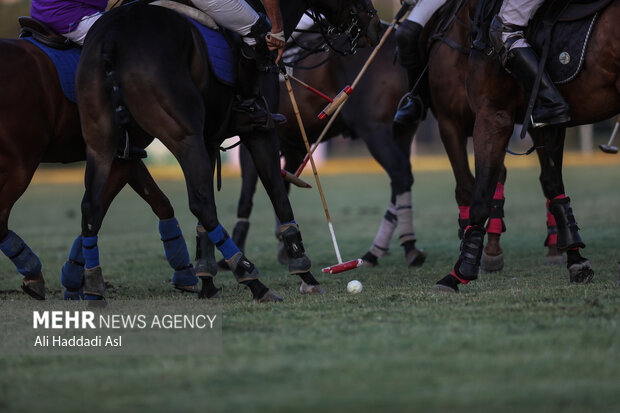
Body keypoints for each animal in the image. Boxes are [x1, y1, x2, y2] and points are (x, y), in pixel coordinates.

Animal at [0, 33, 191, 300]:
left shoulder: (127, 154)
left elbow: (159, 202)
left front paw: (184, 270)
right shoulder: (121, 156)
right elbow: (96, 210)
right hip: (22, 165)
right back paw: (33, 272)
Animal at [75, 0, 380, 302]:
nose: (375, 26)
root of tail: (113, 38)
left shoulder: (209, 140)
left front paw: (207, 281)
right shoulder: (261, 132)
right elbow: (279, 197)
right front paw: (305, 273)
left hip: (103, 140)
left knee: (92, 205)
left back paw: (92, 286)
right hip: (183, 134)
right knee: (201, 205)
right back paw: (252, 279)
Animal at [434, 0, 620, 292]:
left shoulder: (492, 116)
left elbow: (480, 195)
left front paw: (459, 272)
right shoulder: (546, 123)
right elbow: (554, 186)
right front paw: (576, 260)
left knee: (505, 30)